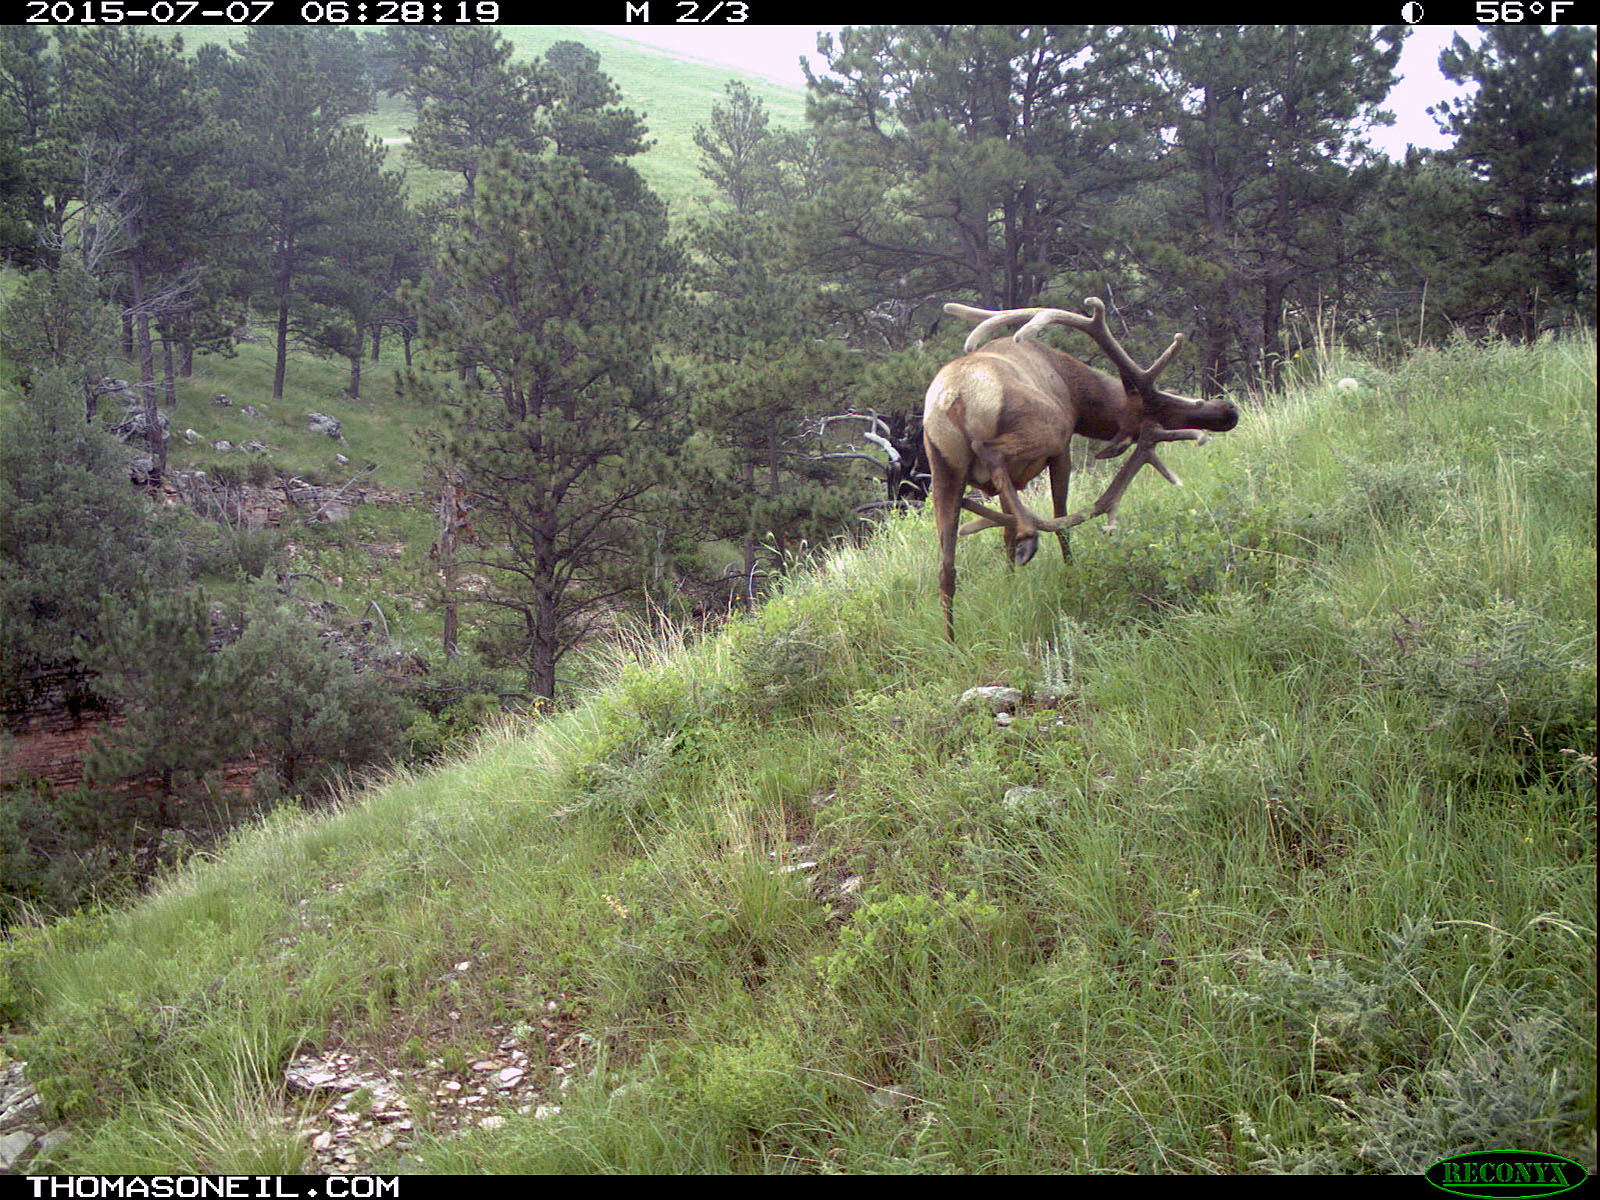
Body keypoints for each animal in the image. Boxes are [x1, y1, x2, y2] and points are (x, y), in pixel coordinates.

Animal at [921, 297, 1241, 643]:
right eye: (1166, 412)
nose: (1229, 412)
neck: (1073, 387)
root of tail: (953, 396)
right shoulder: (1061, 449)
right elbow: (1061, 518)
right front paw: (1071, 573)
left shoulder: (1012, 480)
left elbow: (1006, 532)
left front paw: (1009, 581)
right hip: (1047, 428)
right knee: (990, 451)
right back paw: (1029, 536)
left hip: (944, 469)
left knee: (946, 567)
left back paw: (951, 641)